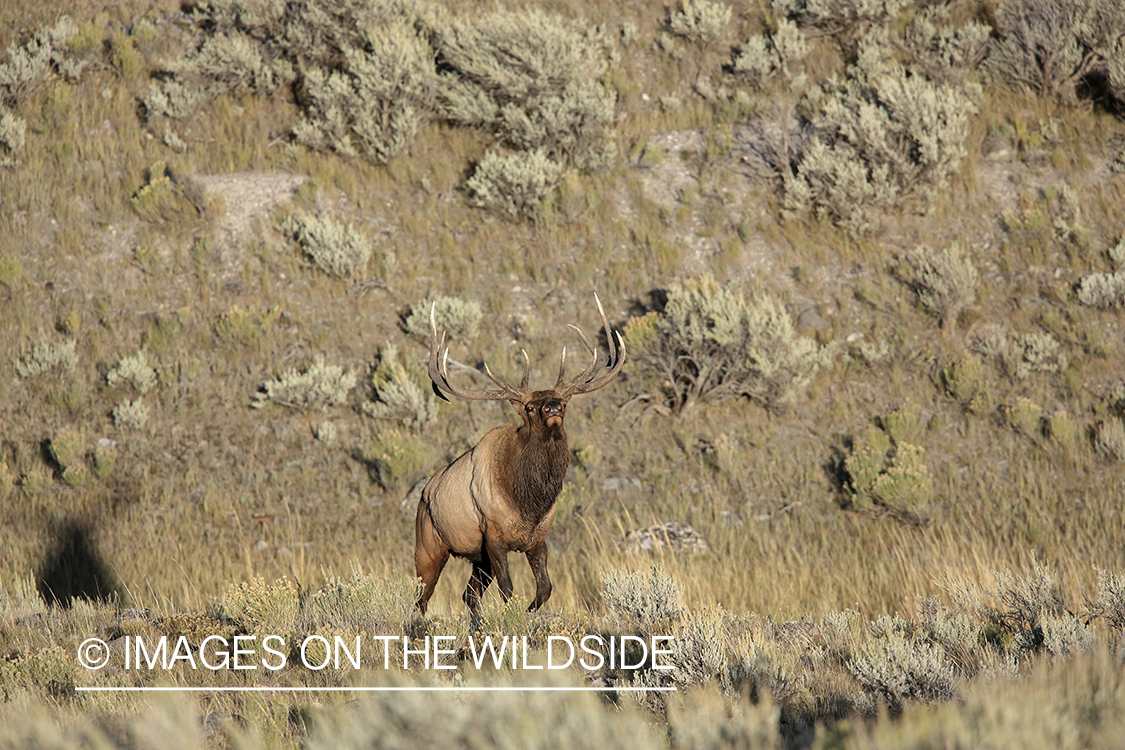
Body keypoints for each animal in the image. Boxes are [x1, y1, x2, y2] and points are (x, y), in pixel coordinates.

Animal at [414, 292, 625, 629]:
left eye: (563, 402)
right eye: (529, 407)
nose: (552, 407)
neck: (528, 501)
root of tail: (425, 492)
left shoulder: (537, 539)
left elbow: (545, 588)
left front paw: (530, 611)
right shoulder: (494, 536)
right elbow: (508, 589)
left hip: (478, 559)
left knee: (468, 595)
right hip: (429, 546)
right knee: (420, 598)